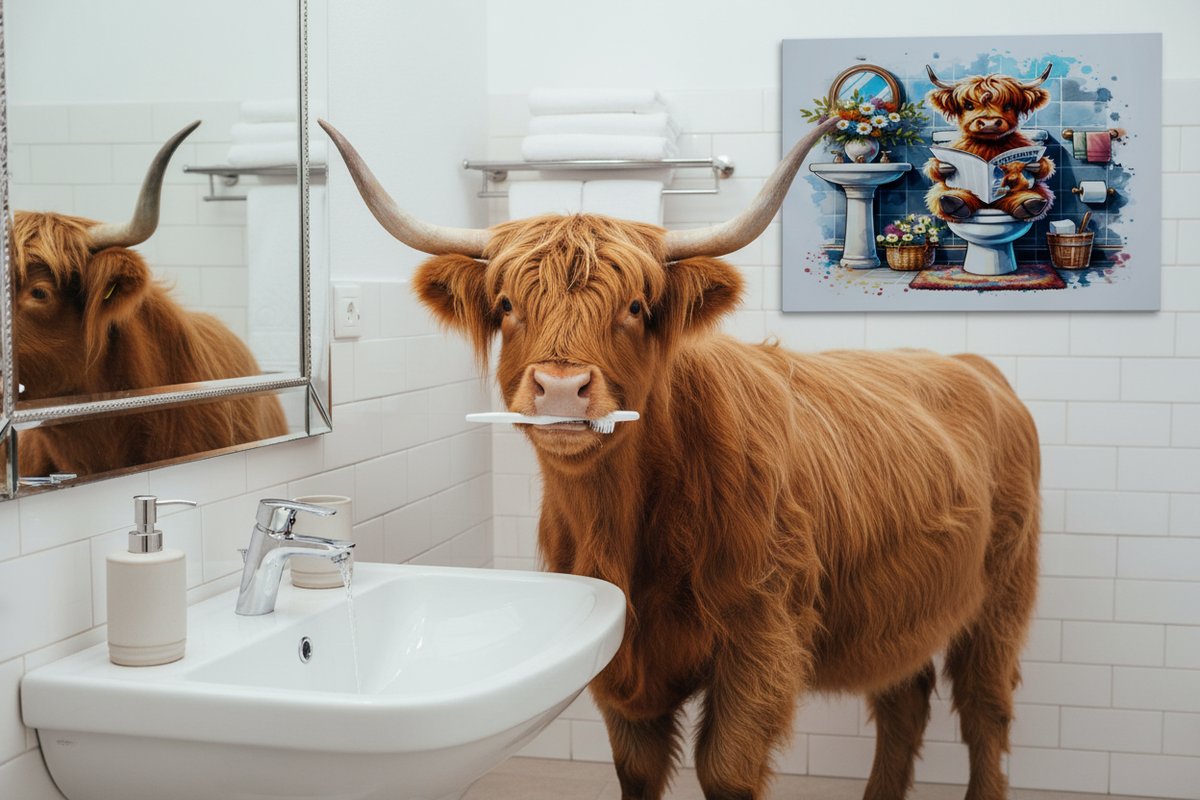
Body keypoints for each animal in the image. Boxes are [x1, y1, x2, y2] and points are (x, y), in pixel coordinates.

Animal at [320, 117, 1041, 800]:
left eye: (636, 307)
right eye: (507, 306)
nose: (561, 389)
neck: (628, 526)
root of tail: (972, 365)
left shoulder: (760, 638)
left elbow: (724, 770)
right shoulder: (623, 659)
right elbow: (636, 770)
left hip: (1001, 593)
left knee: (985, 709)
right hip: (902, 604)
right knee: (903, 699)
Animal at [924, 64, 1056, 223]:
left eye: (1008, 106)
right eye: (968, 106)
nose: (989, 124)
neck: (989, 144)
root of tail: (988, 206)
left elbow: (1044, 167)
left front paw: (1034, 165)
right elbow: (934, 168)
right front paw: (945, 166)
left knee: (1038, 192)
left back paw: (1029, 204)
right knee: (941, 193)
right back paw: (954, 203)